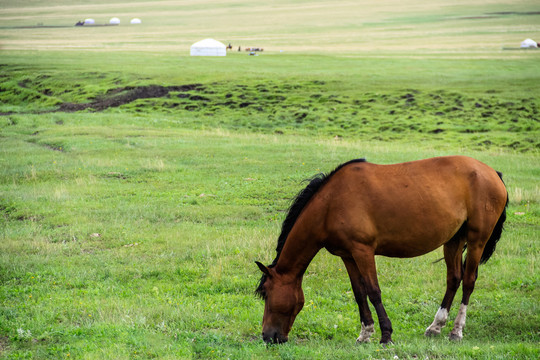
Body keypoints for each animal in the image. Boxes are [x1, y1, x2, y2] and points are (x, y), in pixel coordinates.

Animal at [255, 156, 508, 344]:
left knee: (468, 281)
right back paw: (436, 326)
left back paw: (456, 330)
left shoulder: (363, 251)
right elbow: (359, 293)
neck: (331, 204)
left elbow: (374, 291)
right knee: (453, 279)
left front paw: (386, 335)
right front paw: (365, 333)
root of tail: (492, 172)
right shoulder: (348, 256)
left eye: (266, 293)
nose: (268, 337)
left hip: (476, 240)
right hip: (454, 240)